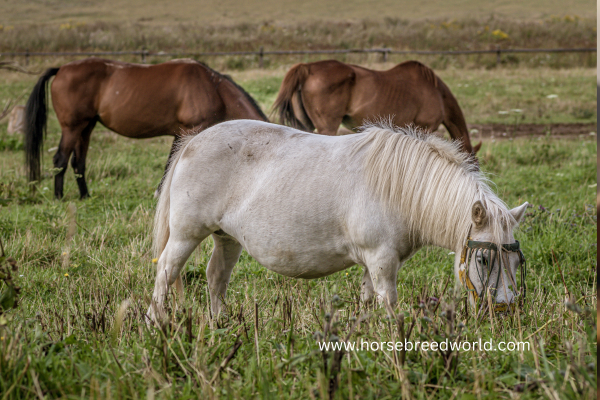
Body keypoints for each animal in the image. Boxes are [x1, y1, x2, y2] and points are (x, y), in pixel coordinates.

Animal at [24, 57, 268, 198]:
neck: (213, 89)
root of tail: (61, 69)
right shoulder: (188, 132)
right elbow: (174, 163)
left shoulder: (180, 134)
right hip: (72, 127)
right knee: (60, 159)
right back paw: (58, 197)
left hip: (86, 127)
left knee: (78, 161)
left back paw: (85, 196)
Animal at [148, 120, 528, 324]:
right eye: (484, 258)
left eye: (515, 260)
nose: (505, 309)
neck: (399, 189)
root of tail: (193, 141)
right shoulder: (382, 260)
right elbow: (388, 302)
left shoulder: (372, 263)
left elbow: (367, 300)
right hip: (185, 235)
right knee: (166, 272)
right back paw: (155, 322)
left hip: (226, 238)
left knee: (216, 278)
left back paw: (220, 323)